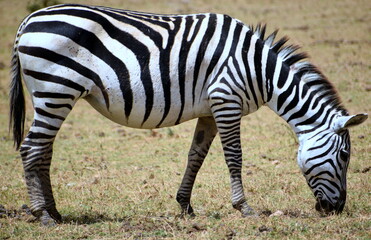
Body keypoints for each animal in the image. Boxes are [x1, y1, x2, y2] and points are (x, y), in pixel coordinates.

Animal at [10, 3, 368, 225]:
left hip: (52, 95)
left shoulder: (210, 109)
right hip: (57, 90)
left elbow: (195, 156)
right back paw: (42, 215)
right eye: (345, 155)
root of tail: (28, 20)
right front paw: (244, 207)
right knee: (31, 149)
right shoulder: (226, 100)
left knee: (43, 150)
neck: (261, 71)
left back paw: (55, 212)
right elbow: (234, 156)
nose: (337, 209)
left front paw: (185, 205)